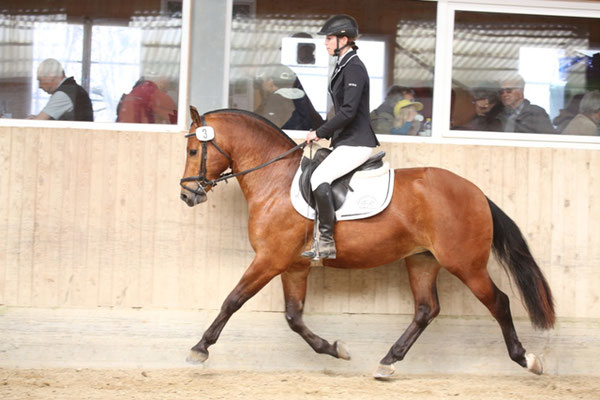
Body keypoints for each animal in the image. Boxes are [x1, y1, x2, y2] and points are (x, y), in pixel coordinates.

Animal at [178, 106, 552, 378]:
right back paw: (388, 361)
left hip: (465, 264)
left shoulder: (270, 259)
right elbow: (294, 317)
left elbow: (233, 300)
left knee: (499, 303)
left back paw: (527, 359)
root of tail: (476, 193)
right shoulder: (294, 265)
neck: (275, 181)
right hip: (422, 259)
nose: (187, 195)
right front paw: (334, 349)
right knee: (426, 310)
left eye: (194, 150)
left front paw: (200, 348)